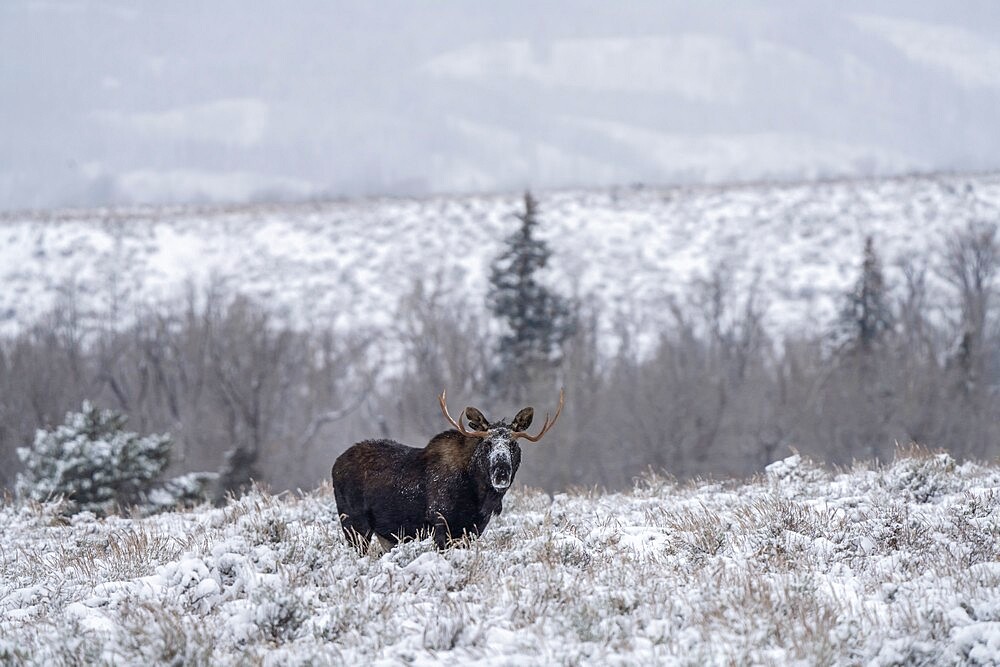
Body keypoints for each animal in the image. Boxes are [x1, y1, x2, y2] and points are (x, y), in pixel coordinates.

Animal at [330, 388, 560, 552]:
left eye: (513, 445)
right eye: (487, 444)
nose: (501, 471)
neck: (478, 495)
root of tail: (335, 464)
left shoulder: (474, 528)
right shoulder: (440, 522)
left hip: (383, 533)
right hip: (354, 524)